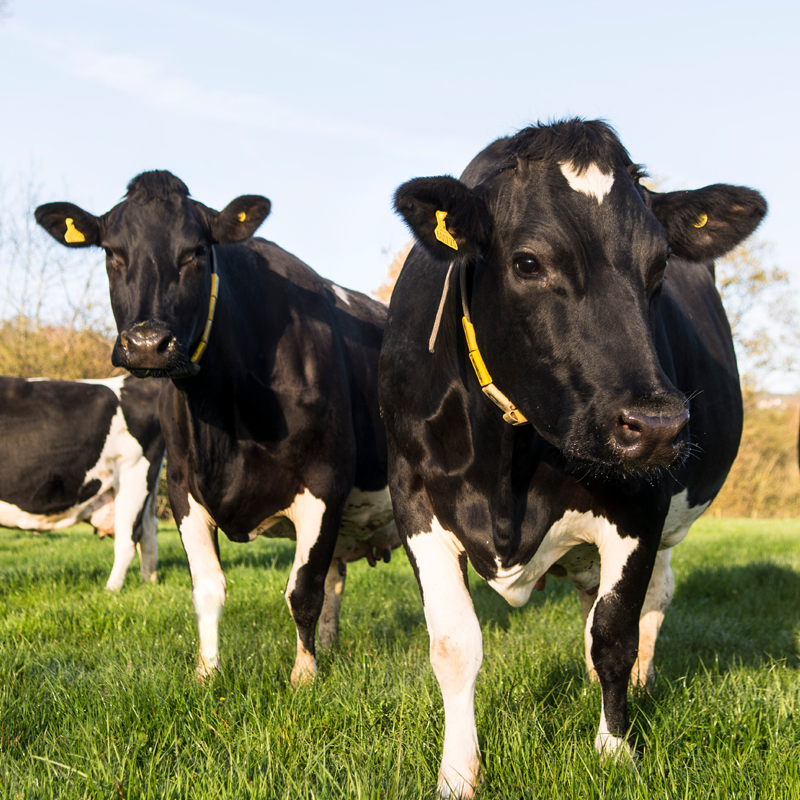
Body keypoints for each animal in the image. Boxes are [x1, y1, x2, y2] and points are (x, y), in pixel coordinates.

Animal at [0, 374, 164, 590]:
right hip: (145, 488)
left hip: (133, 476)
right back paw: (148, 583)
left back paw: (111, 590)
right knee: (148, 532)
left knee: (129, 538)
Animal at [35, 171, 398, 685]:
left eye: (196, 251)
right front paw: (207, 672)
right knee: (337, 578)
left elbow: (303, 590)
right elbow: (208, 588)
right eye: (111, 252)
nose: (147, 343)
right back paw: (329, 646)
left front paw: (304, 677)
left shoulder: (325, 482)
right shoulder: (184, 488)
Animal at [379, 119, 766, 797]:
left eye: (660, 263)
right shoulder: (414, 499)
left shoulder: (640, 504)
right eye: (528, 262)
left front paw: (615, 751)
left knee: (651, 603)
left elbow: (614, 637)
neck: (506, 472)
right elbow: (453, 644)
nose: (658, 424)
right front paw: (458, 773)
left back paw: (640, 686)